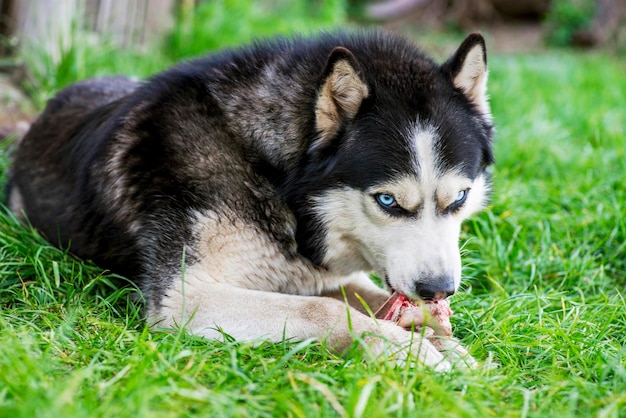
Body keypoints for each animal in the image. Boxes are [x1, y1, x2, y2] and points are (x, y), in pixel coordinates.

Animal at [6, 30, 492, 370]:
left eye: (460, 197)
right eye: (388, 201)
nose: (439, 288)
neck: (270, 173)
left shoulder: (312, 272)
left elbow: (365, 295)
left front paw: (445, 342)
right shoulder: (182, 298)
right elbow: (324, 309)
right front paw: (410, 350)